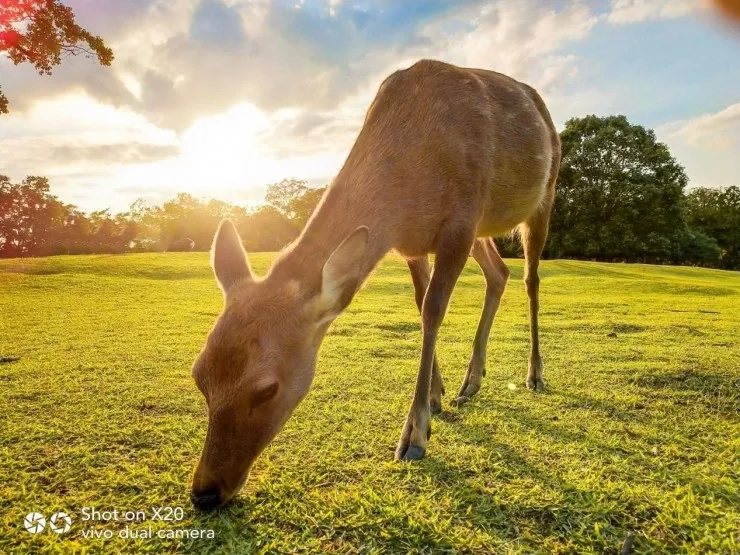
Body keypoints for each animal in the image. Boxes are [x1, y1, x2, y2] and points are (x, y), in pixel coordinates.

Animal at [191, 58, 560, 510]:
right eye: (199, 375)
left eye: (266, 389)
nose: (205, 492)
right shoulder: (413, 244)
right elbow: (421, 305)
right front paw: (436, 395)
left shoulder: (460, 220)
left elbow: (434, 309)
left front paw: (415, 434)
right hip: (483, 231)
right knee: (498, 273)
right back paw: (471, 382)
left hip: (544, 192)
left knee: (530, 278)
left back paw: (534, 374)